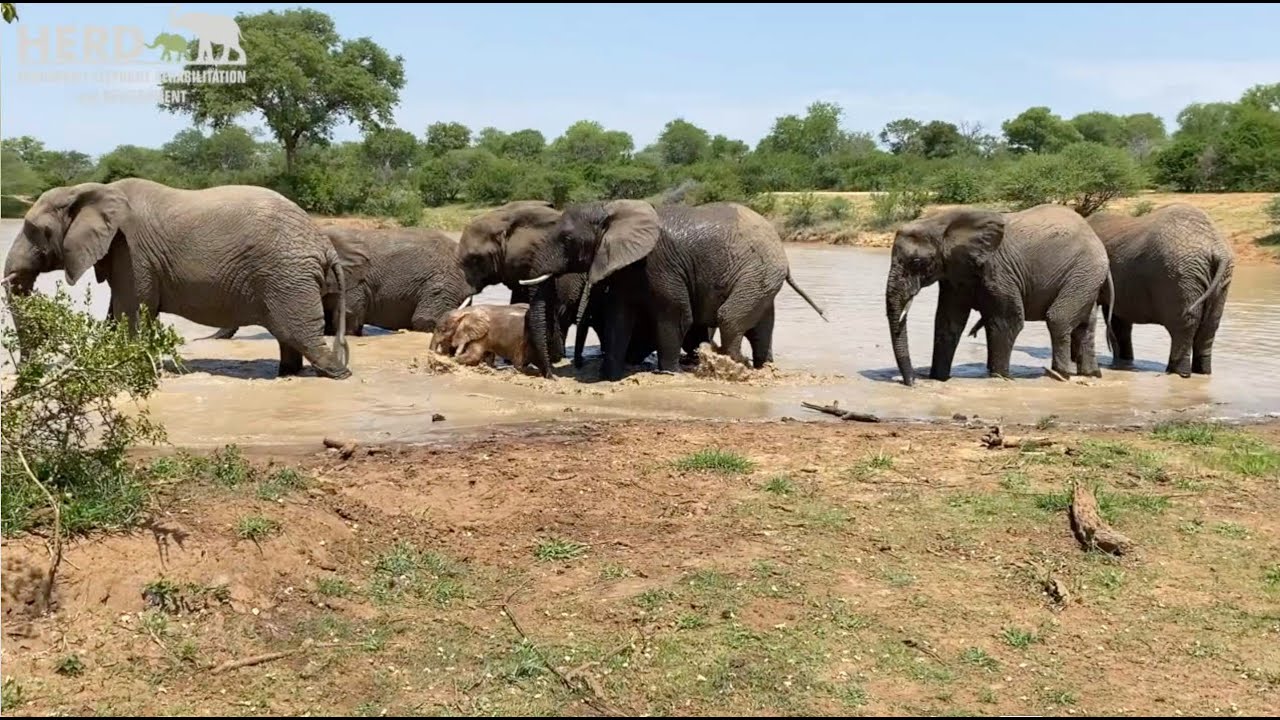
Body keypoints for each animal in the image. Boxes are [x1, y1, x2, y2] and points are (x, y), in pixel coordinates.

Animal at [17, 178, 369, 379]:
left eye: (37, 231)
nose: (24, 372)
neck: (87, 190)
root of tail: (323, 243)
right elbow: (118, 313)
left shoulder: (132, 252)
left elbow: (132, 311)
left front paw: (127, 370)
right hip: (289, 279)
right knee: (290, 334)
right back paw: (288, 374)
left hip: (287, 275)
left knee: (297, 331)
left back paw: (338, 373)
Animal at [515, 199, 829, 380]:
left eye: (566, 239)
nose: (551, 376)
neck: (613, 211)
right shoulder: (627, 266)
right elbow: (619, 318)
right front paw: (611, 375)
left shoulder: (660, 263)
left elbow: (675, 315)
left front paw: (668, 373)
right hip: (763, 277)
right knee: (761, 327)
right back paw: (762, 368)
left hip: (757, 271)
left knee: (730, 318)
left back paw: (736, 365)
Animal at [886, 203, 1113, 386]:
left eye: (916, 262)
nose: (912, 382)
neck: (943, 221)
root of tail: (1094, 235)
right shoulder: (955, 274)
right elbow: (948, 321)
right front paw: (939, 379)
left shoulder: (998, 270)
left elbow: (1006, 321)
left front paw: (1001, 378)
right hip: (1086, 276)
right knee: (1085, 325)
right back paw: (1091, 374)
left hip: (1084, 271)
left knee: (1058, 319)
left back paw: (1060, 375)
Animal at [1085, 203, 1235, 377]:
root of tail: (1217, 249)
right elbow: (1119, 320)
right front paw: (1125, 361)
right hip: (1218, 279)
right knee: (1209, 326)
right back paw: (1202, 373)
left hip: (1179, 276)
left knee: (1184, 326)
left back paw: (1177, 372)